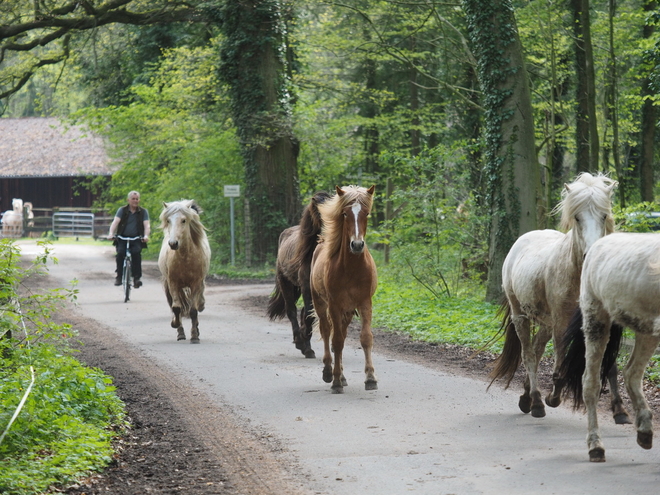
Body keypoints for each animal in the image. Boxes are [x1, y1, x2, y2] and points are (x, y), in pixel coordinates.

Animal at [159, 200, 210, 342]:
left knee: (197, 305)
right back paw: (181, 333)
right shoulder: (173, 283)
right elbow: (177, 308)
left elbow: (193, 310)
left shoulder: (196, 284)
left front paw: (194, 336)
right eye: (168, 220)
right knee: (177, 306)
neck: (185, 258)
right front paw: (175, 325)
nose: (173, 243)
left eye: (183, 220)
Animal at [266, 192, 330, 358]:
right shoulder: (307, 286)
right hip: (286, 284)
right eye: (319, 211)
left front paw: (306, 343)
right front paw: (302, 342)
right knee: (292, 311)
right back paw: (300, 340)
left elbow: (312, 314)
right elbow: (307, 313)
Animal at [310, 186, 376, 396]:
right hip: (322, 305)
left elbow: (366, 338)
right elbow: (336, 341)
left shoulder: (365, 303)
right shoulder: (334, 305)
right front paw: (336, 381)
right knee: (327, 333)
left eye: (367, 213)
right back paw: (329, 372)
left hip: (347, 311)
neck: (352, 269)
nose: (357, 245)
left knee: (341, 336)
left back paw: (343, 375)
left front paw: (370, 378)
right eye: (345, 214)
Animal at [488, 172, 628, 420]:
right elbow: (560, 360)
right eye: (577, 217)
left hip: (545, 322)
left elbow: (610, 365)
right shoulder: (562, 322)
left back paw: (526, 398)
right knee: (529, 355)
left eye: (604, 216)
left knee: (537, 350)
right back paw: (536, 402)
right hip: (521, 316)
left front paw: (619, 409)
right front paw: (553, 397)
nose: (592, 254)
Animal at [560, 234, 660, 464]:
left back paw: (644, 432)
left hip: (647, 330)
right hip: (596, 322)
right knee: (590, 383)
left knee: (631, 373)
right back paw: (596, 447)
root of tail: (597, 244)